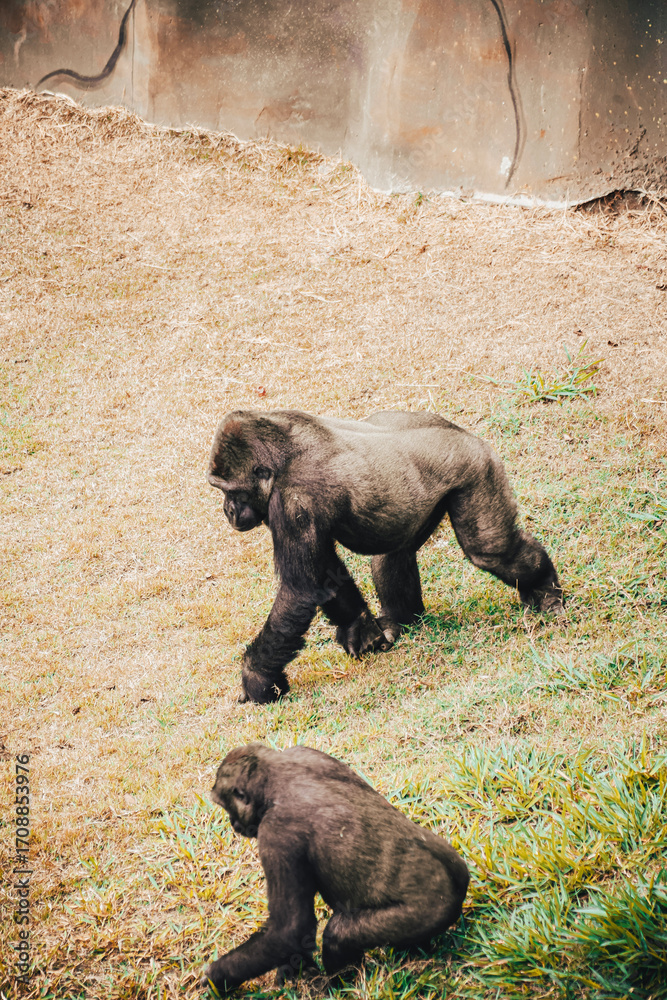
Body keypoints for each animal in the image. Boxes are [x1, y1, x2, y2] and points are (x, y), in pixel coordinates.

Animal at [201, 743, 469, 993]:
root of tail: (458, 888)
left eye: (225, 806)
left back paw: (335, 984)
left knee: (338, 934)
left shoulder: (275, 833)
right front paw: (292, 968)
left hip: (428, 912)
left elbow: (290, 929)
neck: (273, 777)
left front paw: (217, 977)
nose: (233, 823)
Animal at [207, 409, 563, 703]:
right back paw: (399, 619)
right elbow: (325, 575)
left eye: (232, 492)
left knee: (491, 550)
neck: (281, 460)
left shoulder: (293, 501)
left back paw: (545, 589)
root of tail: (464, 433)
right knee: (394, 553)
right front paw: (360, 629)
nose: (228, 511)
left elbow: (300, 590)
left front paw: (257, 678)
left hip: (477, 467)